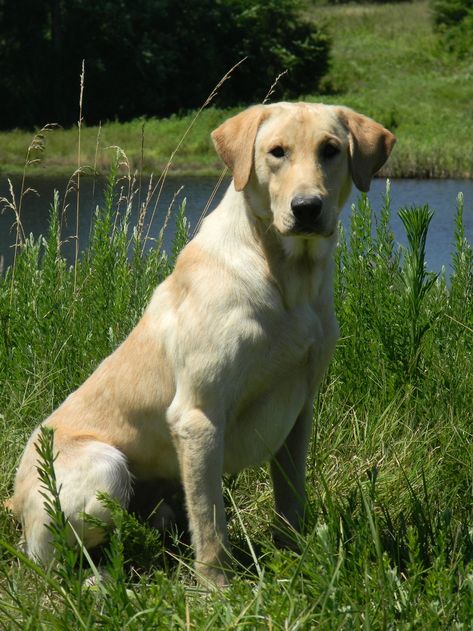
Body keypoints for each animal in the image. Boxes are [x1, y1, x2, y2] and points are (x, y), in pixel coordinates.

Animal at [5, 102, 394, 588]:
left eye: (331, 150)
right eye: (276, 152)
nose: (306, 208)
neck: (286, 277)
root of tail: (12, 499)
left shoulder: (299, 411)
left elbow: (290, 498)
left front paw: (296, 558)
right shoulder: (199, 417)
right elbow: (211, 523)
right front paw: (218, 589)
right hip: (105, 468)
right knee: (50, 567)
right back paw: (98, 583)